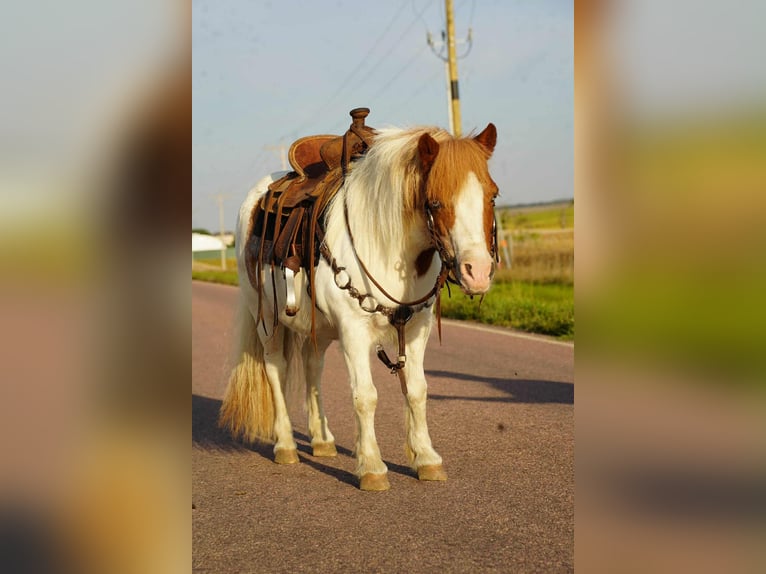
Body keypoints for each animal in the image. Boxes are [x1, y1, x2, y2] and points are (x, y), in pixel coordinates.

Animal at [219, 122, 498, 491]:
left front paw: (426, 458)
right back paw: (286, 445)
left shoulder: (415, 330)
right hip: (266, 318)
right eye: (435, 201)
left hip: (320, 328)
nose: (477, 272)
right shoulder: (353, 332)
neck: (384, 242)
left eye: (492, 195)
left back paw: (322, 440)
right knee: (276, 369)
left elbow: (417, 391)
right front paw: (371, 467)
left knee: (313, 366)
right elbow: (365, 396)